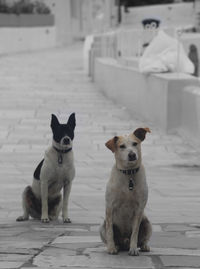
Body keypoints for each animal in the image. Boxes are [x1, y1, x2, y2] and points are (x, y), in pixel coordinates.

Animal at [100, 127, 152, 255]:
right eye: (122, 146)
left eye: (135, 143)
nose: (132, 154)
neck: (129, 174)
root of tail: (124, 242)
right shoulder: (110, 207)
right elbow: (110, 231)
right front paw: (111, 248)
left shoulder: (139, 209)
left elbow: (135, 232)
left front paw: (133, 249)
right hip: (102, 226)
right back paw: (116, 246)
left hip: (147, 223)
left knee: (142, 240)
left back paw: (144, 246)